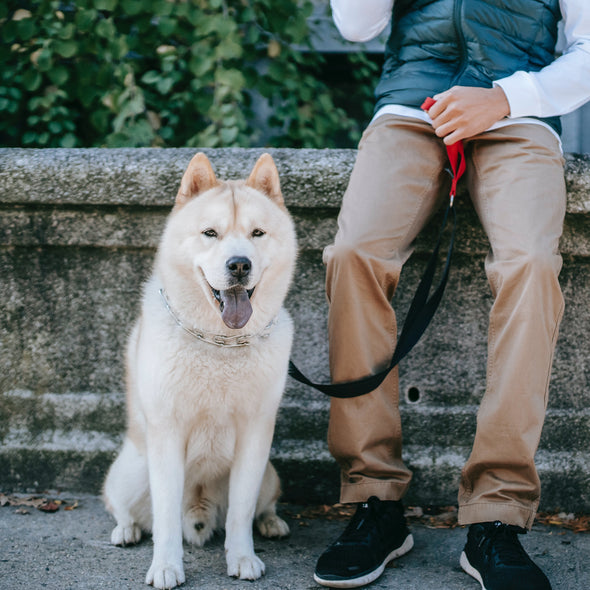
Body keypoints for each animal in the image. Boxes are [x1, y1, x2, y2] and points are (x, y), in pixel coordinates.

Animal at [102, 154, 298, 590]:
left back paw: (272, 523)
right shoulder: (167, 434)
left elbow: (242, 510)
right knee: (124, 507)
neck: (219, 343)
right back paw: (126, 530)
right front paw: (165, 566)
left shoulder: (255, 436)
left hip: (270, 474)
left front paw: (242, 557)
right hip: (132, 472)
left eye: (257, 233)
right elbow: (165, 517)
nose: (239, 264)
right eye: (210, 233)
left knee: (264, 504)